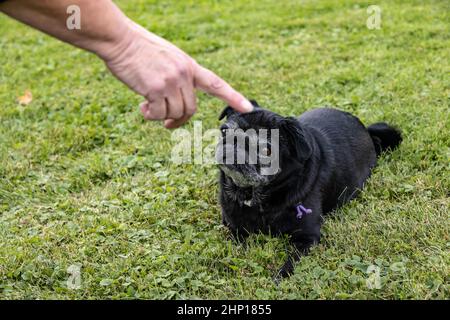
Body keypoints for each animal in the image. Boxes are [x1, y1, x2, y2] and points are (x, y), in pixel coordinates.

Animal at [215, 101, 400, 278]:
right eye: (224, 131)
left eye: (266, 150)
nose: (235, 146)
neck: (254, 193)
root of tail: (365, 129)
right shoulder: (234, 228)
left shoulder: (307, 238)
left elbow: (291, 262)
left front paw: (280, 277)